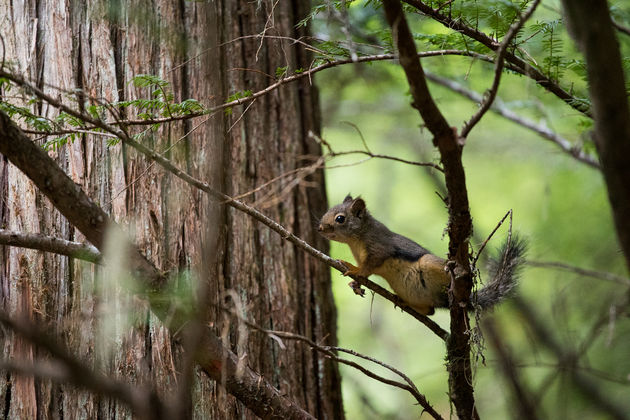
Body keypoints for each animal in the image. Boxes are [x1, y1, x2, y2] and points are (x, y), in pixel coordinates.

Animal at [316, 196, 528, 316]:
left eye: (340, 219)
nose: (320, 228)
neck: (357, 239)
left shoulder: (379, 247)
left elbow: (369, 266)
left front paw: (354, 270)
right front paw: (356, 285)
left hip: (430, 265)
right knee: (431, 311)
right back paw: (403, 302)